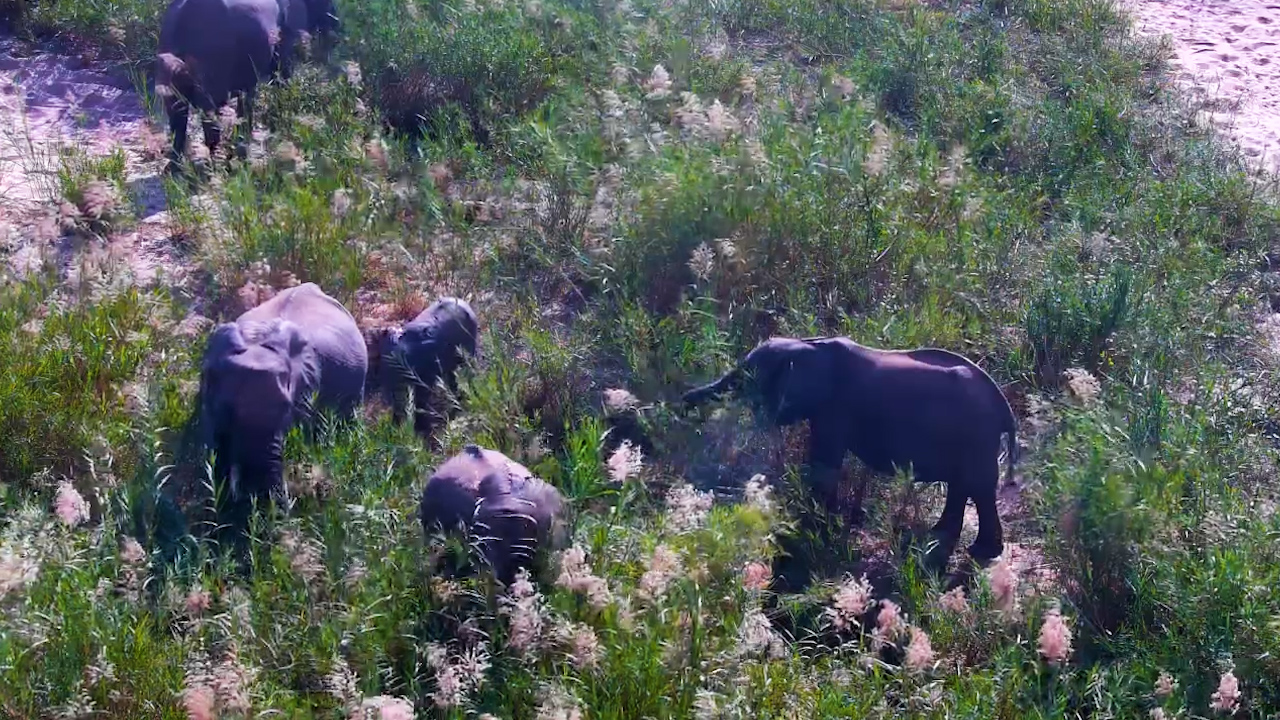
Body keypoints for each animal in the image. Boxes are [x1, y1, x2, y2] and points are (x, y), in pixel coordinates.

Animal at [682, 336, 1018, 563]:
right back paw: (939, 539)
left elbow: (825, 462)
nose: (682, 403)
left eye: (749, 376)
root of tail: (1005, 408)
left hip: (977, 436)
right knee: (964, 485)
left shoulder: (836, 407)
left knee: (977, 485)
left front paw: (817, 530)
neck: (809, 344)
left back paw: (979, 551)